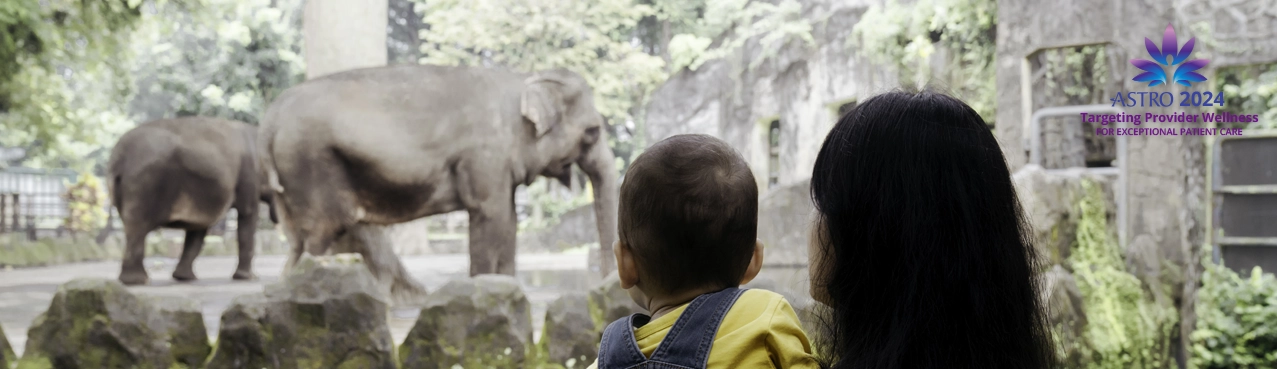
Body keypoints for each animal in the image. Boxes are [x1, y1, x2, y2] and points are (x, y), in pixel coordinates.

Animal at [107, 117, 277, 284]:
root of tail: (119, 158)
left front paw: (184, 277)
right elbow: (247, 215)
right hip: (144, 184)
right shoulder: (249, 177)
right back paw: (137, 281)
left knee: (131, 228)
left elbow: (198, 229)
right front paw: (249, 278)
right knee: (137, 228)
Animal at [259, 64, 618, 278]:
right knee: (320, 235)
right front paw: (486, 285)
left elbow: (509, 219)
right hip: (308, 164)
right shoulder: (484, 154)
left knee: (297, 242)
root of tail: (271, 115)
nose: (603, 283)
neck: (525, 77)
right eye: (592, 132)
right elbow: (493, 216)